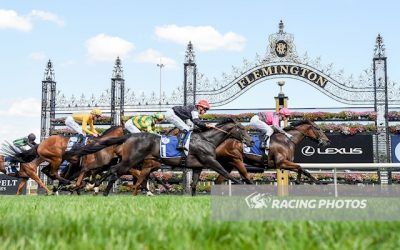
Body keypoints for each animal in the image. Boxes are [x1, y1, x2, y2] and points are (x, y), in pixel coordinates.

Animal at [67, 118, 252, 196]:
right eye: (242, 129)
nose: (250, 140)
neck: (207, 140)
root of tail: (129, 136)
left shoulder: (198, 167)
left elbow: (193, 184)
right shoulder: (210, 161)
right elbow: (228, 174)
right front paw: (245, 185)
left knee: (110, 171)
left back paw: (94, 187)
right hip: (130, 160)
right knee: (112, 170)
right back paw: (98, 189)